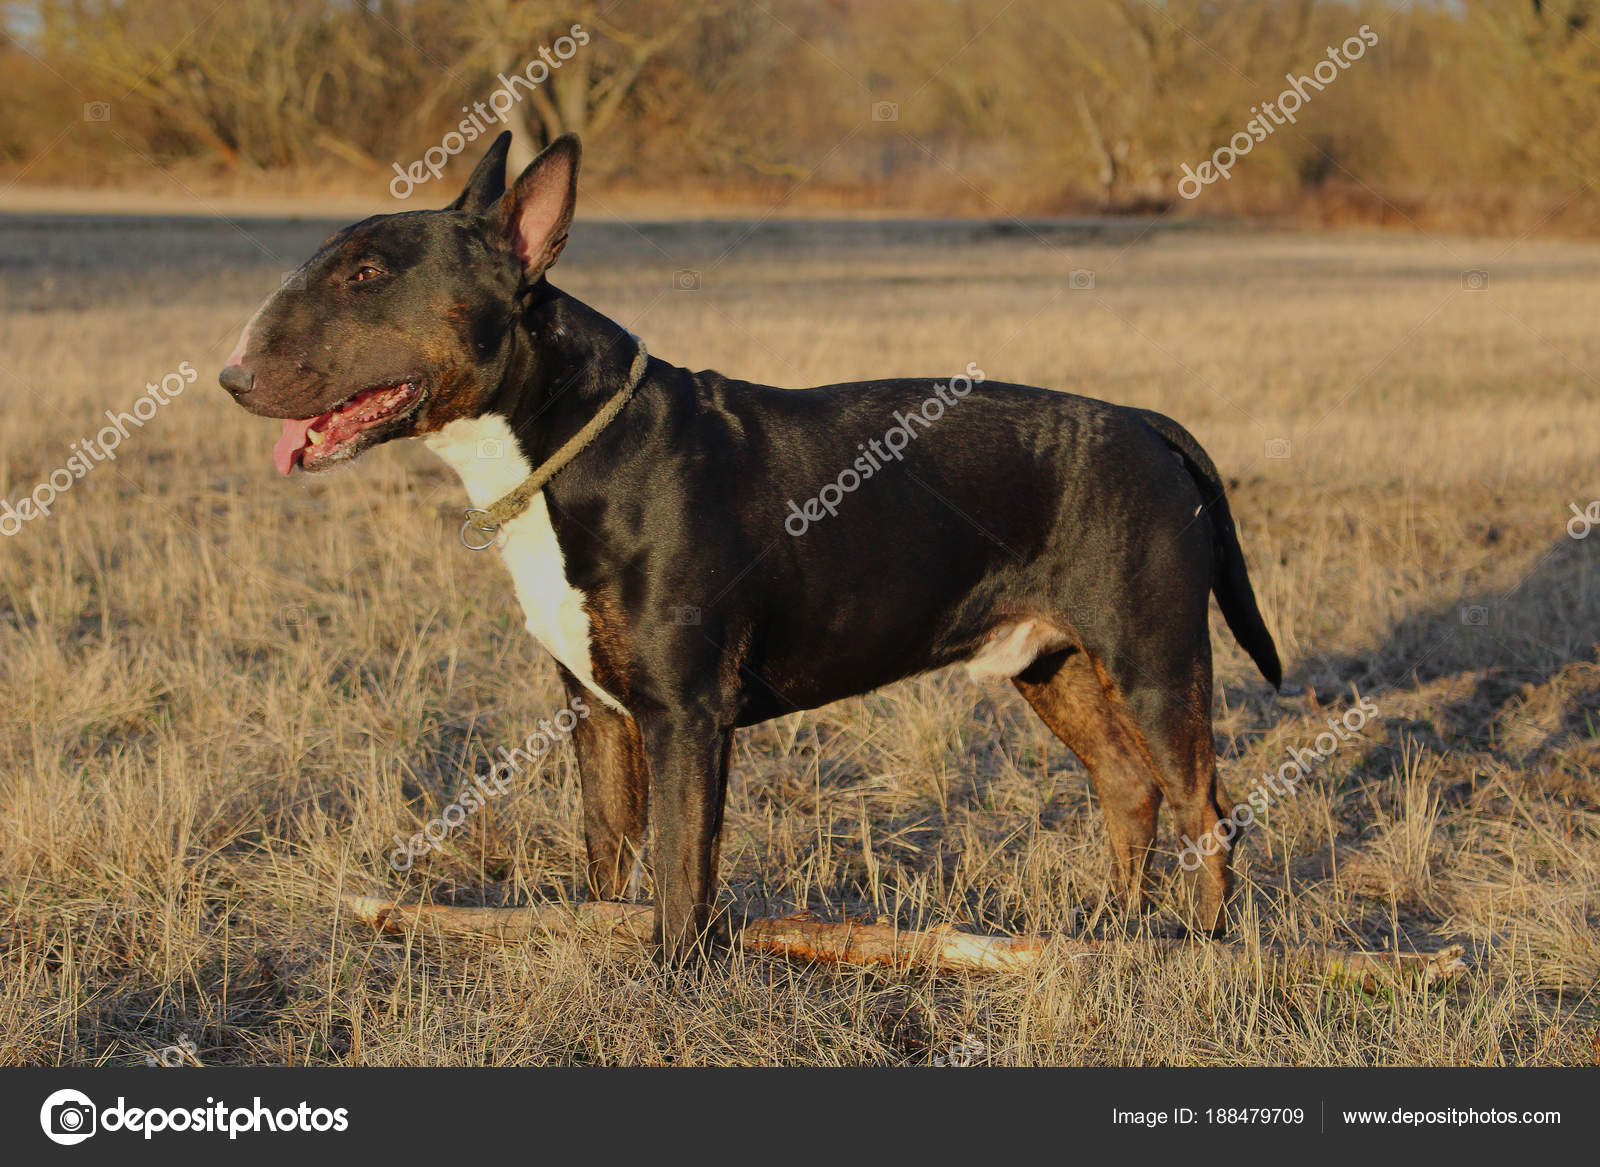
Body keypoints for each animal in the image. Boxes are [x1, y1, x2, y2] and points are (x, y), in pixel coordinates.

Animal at [219, 132, 1280, 960]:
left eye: (367, 275)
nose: (231, 375)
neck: (565, 441)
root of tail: (1145, 424)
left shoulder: (688, 713)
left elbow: (685, 868)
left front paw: (672, 984)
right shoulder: (597, 713)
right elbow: (612, 859)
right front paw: (602, 943)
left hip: (1154, 658)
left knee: (1205, 808)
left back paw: (1203, 948)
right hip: (1051, 666)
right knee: (1127, 787)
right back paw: (1111, 931)